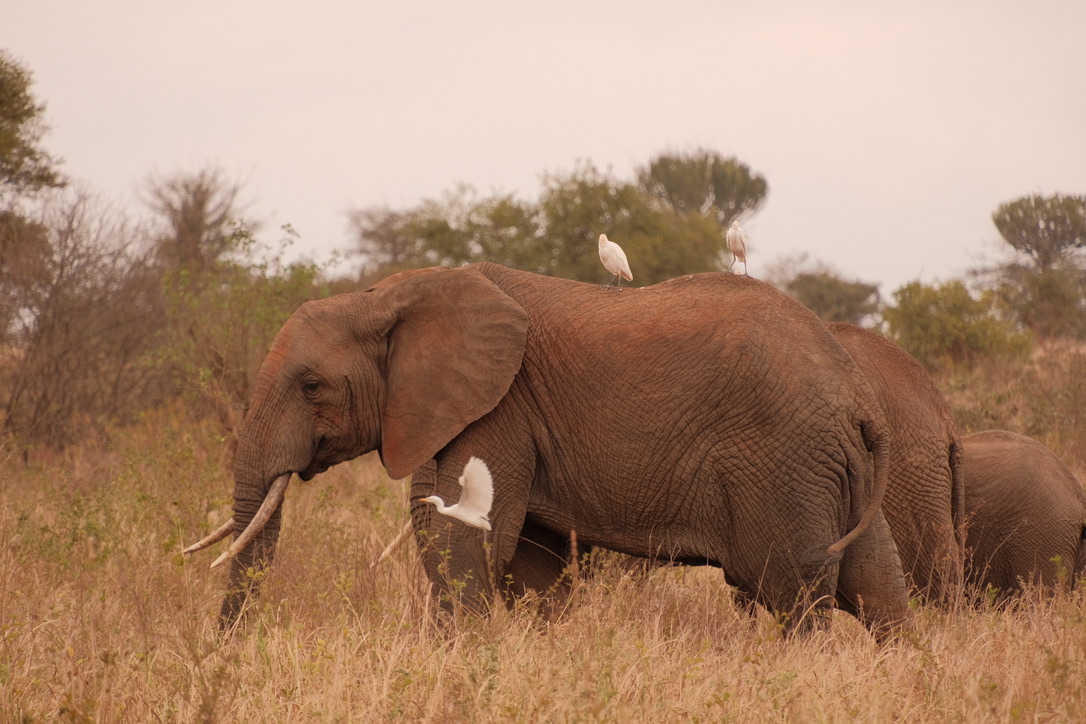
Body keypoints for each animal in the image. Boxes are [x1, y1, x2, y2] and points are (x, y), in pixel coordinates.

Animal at [190, 263, 912, 636]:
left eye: (312, 385)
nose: (230, 649)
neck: (389, 294)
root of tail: (859, 398)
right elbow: (533, 566)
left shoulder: (500, 407)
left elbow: (463, 541)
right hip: (829, 466)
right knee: (877, 584)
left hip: (783, 461)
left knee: (794, 596)